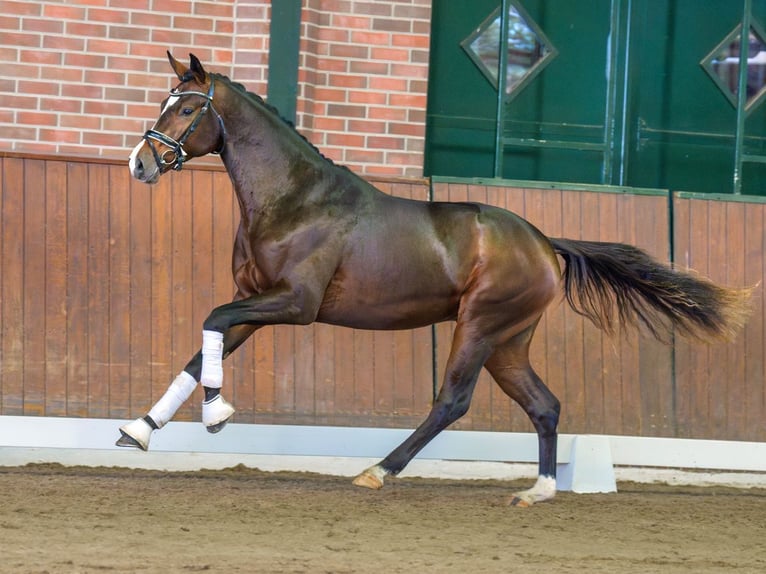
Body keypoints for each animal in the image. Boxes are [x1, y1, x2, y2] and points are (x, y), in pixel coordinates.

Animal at [118, 51, 752, 506]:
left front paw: (216, 416)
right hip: (508, 342)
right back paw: (538, 491)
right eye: (165, 101)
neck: (295, 198)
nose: (140, 165)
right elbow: (203, 347)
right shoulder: (255, 300)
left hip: (479, 327)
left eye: (185, 109)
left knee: (452, 401)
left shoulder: (294, 304)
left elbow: (211, 323)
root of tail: (545, 244)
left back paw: (379, 471)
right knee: (544, 405)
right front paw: (140, 430)